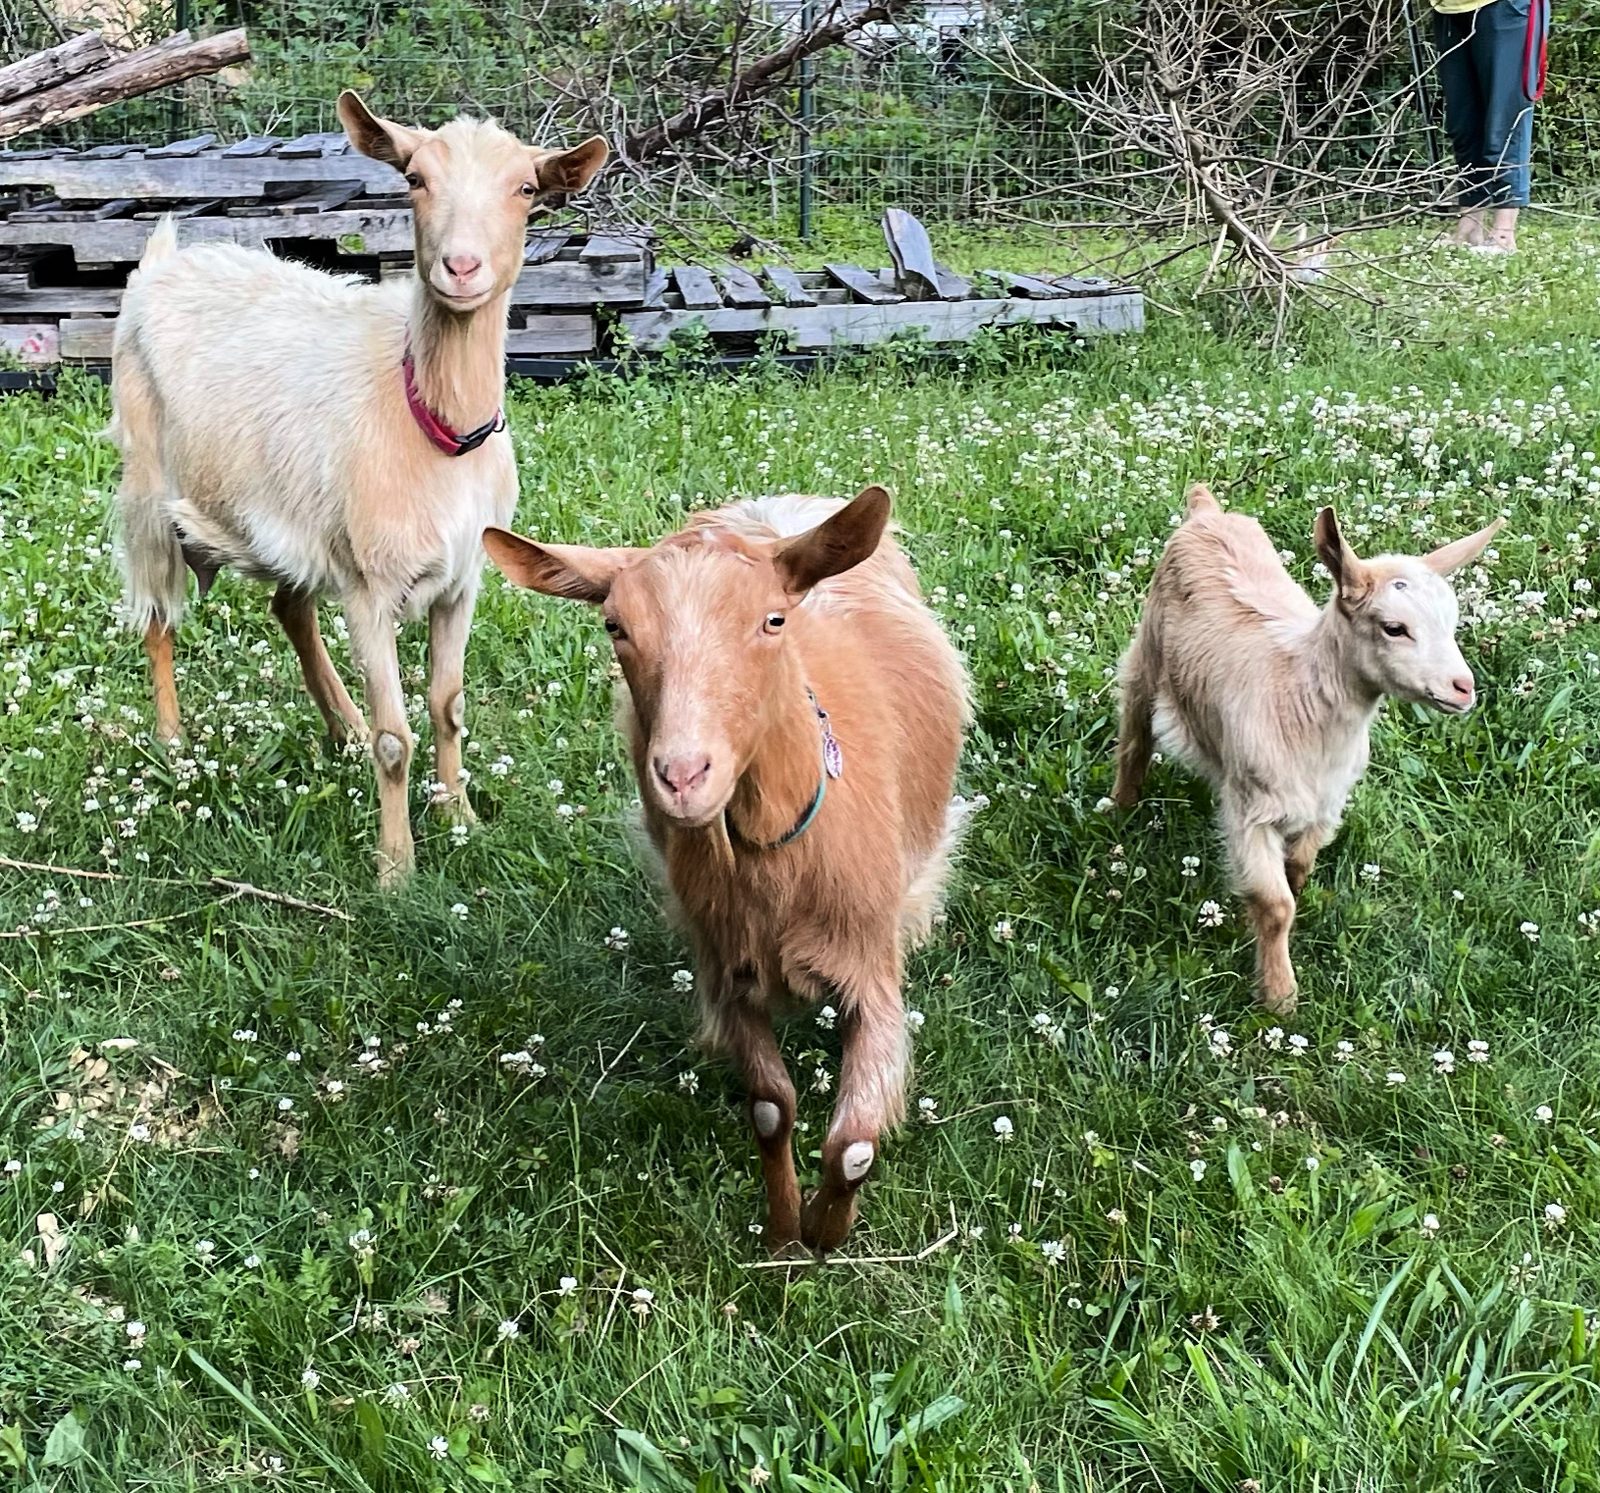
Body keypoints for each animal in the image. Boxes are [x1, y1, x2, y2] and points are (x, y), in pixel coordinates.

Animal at [109, 92, 607, 885]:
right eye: (415, 178)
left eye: (526, 189)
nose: (460, 266)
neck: (429, 421)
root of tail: (163, 260)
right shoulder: (372, 588)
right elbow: (395, 735)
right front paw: (396, 870)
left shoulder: (463, 578)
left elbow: (448, 705)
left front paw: (461, 818)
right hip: (149, 485)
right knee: (157, 613)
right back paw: (173, 741)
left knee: (289, 607)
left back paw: (339, 726)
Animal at [483, 487, 971, 1251]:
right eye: (616, 626)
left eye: (773, 619)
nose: (683, 776)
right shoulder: (727, 968)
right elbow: (771, 1108)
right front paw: (783, 1231)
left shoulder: (870, 964)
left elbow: (854, 1144)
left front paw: (826, 1234)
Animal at [1112, 482, 1502, 1012]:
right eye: (1394, 628)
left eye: (1452, 623)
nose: (1463, 689)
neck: (1301, 697)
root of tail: (1207, 511)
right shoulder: (1249, 808)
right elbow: (1277, 905)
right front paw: (1280, 996)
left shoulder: (1325, 804)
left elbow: (1296, 873)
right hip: (1147, 652)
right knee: (1135, 731)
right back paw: (1121, 806)